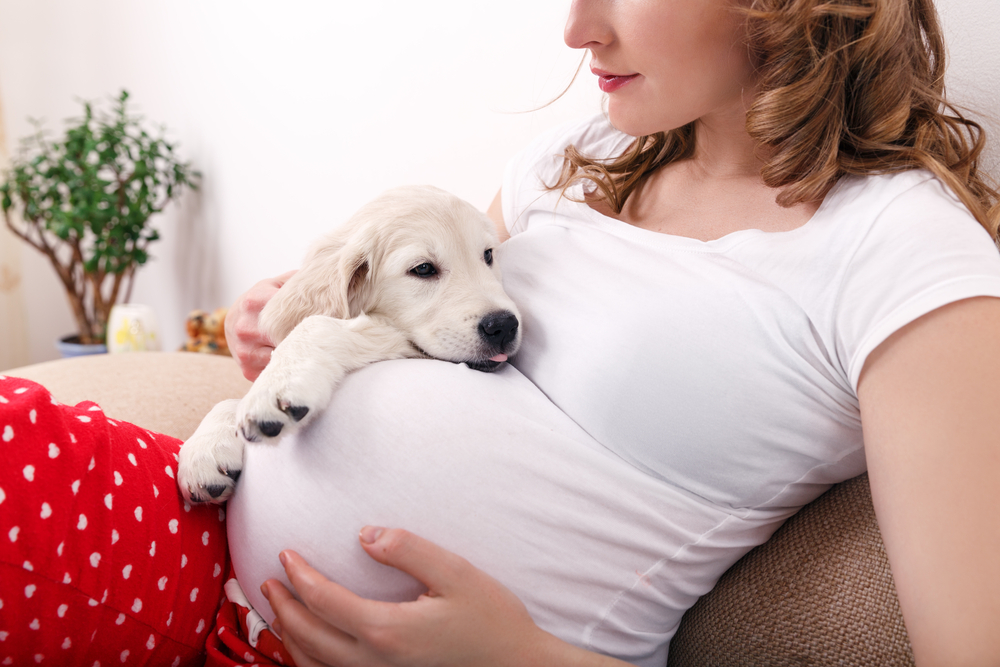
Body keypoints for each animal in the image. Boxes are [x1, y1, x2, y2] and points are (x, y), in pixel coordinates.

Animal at [179, 185, 520, 504]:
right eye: (423, 269)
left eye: (488, 255)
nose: (504, 326)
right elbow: (229, 399)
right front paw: (204, 450)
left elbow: (315, 325)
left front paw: (275, 388)